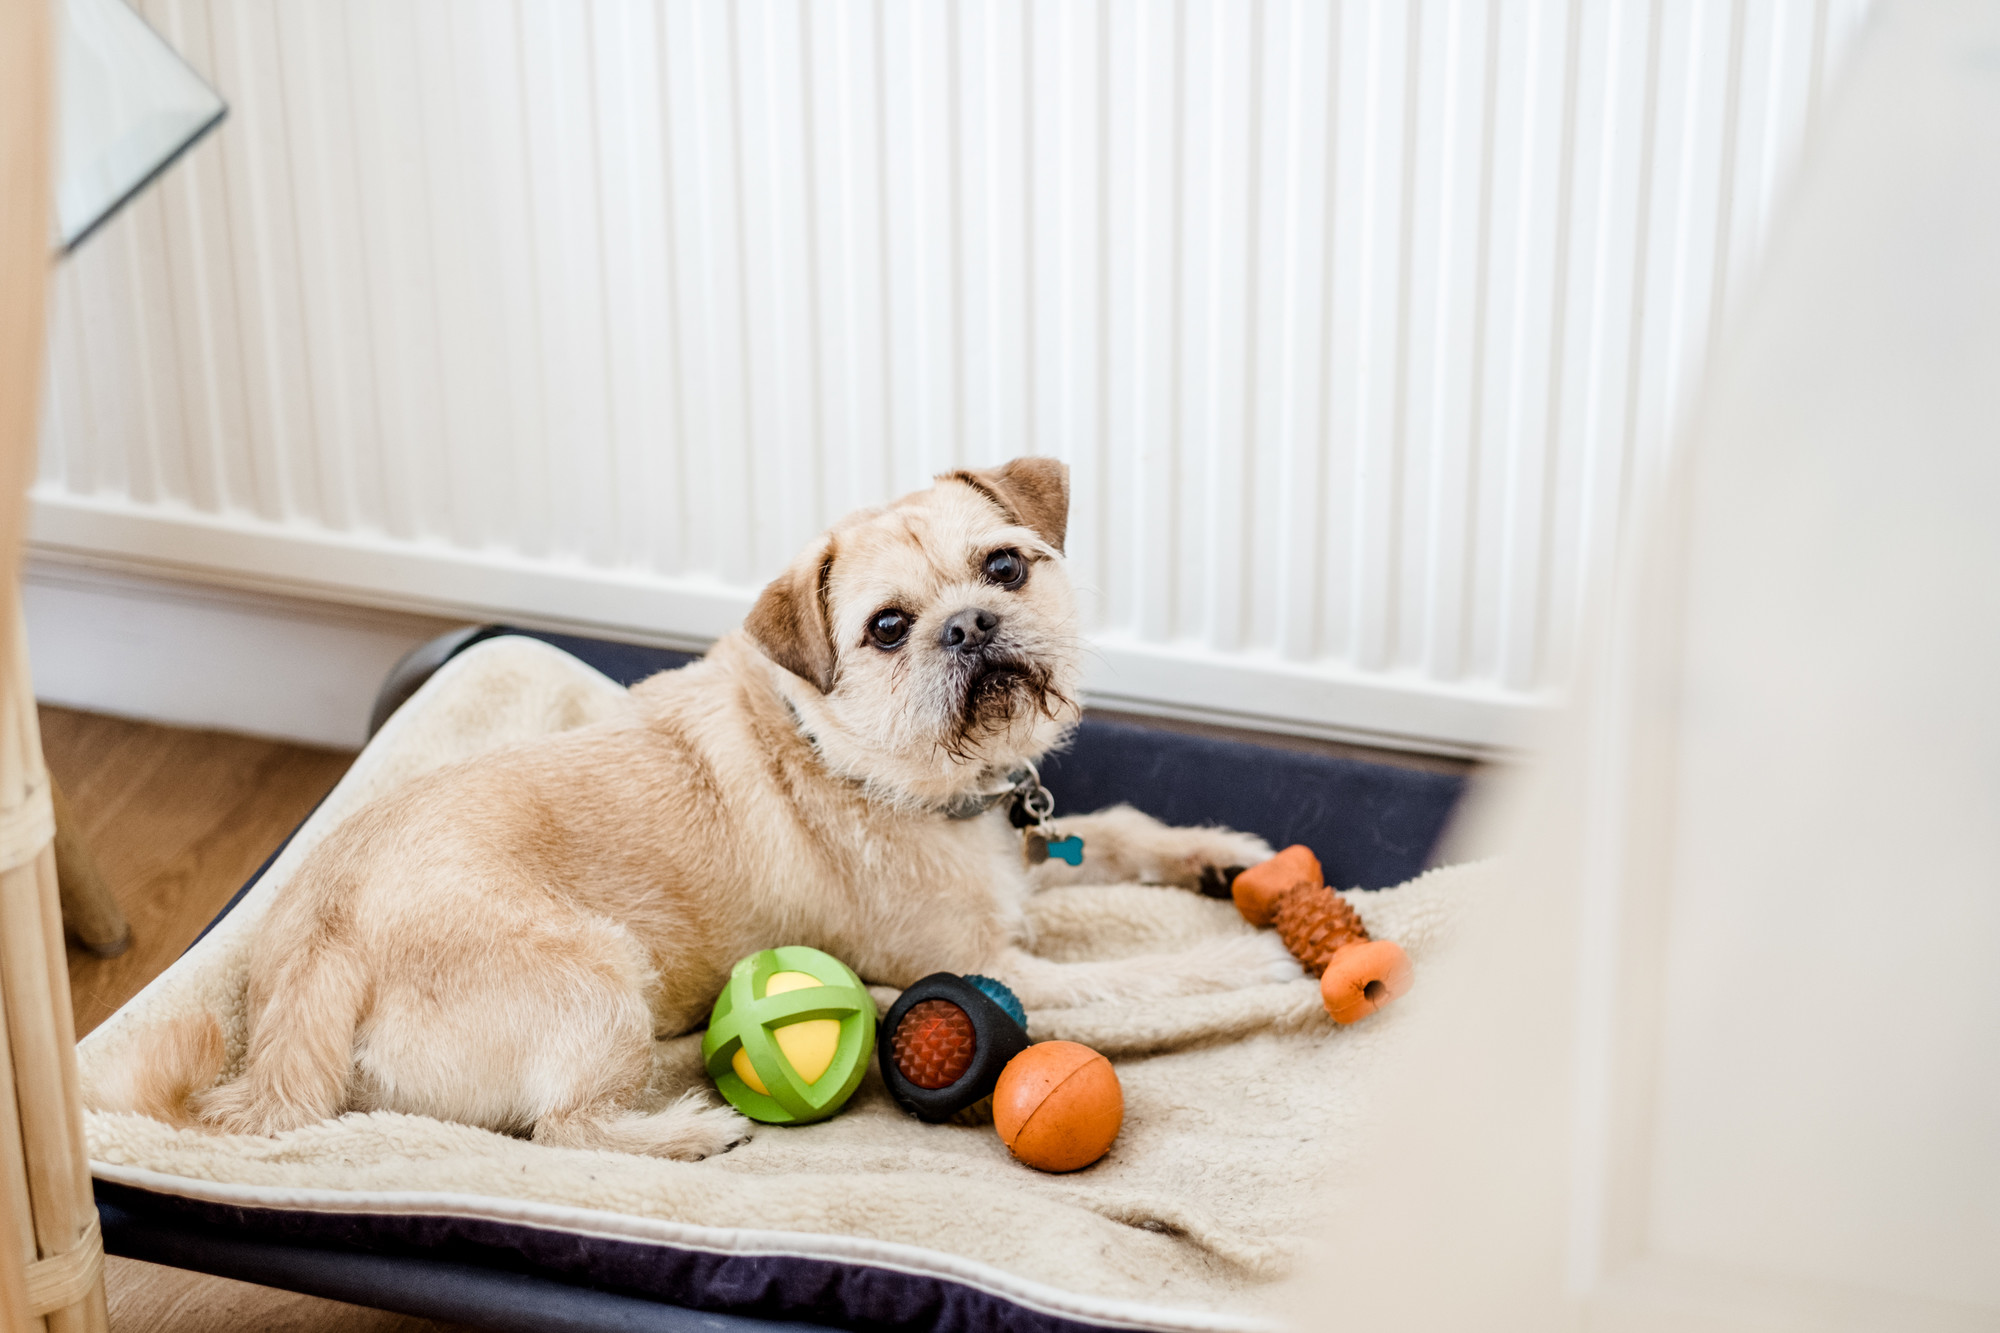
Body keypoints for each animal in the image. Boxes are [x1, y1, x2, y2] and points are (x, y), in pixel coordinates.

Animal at [105, 456, 1296, 1152]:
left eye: (1005, 567)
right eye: (887, 629)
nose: (968, 625)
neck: (888, 770)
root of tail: (314, 953)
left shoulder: (1029, 846)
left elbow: (1125, 832)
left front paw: (1220, 857)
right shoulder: (996, 970)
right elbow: (1145, 975)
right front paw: (1253, 957)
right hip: (600, 979)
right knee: (564, 1134)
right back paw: (686, 1130)